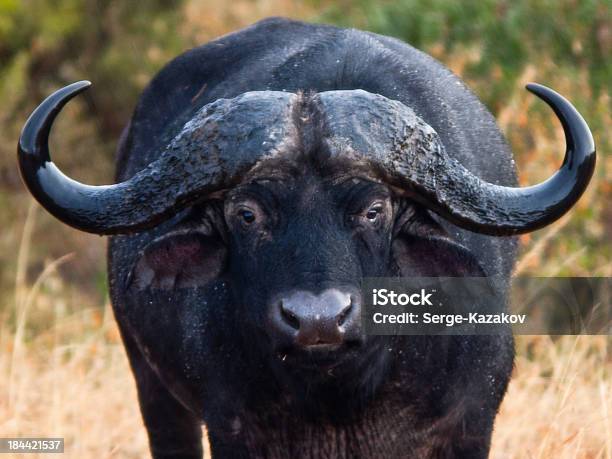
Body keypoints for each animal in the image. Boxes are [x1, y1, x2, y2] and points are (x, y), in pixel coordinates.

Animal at [17, 17, 592, 456]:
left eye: (374, 210)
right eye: (246, 214)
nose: (318, 320)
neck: (343, 394)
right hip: (153, 391)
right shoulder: (231, 428)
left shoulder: (472, 423)